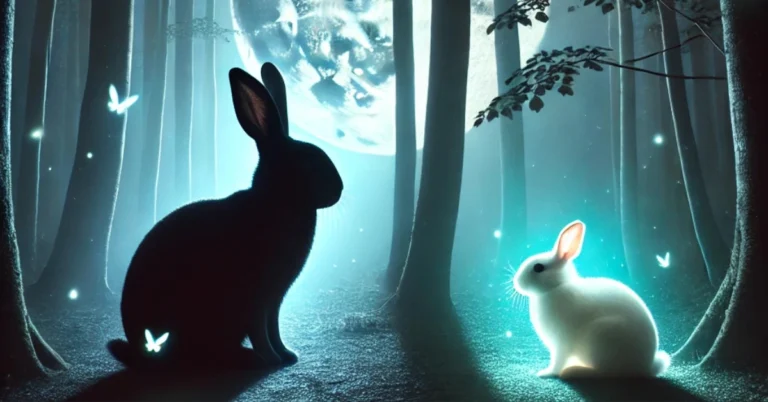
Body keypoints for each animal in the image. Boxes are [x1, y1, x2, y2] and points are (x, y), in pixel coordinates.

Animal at [107, 62, 343, 371]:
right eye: (307, 162)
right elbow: (260, 331)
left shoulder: (274, 301)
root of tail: (138, 351)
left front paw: (287, 356)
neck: (278, 199)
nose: (340, 189)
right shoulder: (256, 297)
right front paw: (271, 360)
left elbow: (274, 328)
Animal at [512, 220, 671, 379]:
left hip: (603, 337)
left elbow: (558, 361)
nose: (516, 282)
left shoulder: (561, 344)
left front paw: (546, 373)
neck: (556, 287)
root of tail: (646, 367)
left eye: (538, 267)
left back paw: (574, 371)